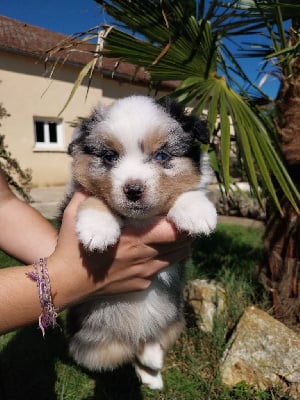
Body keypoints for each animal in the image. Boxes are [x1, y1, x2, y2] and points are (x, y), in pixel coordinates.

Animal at [64, 95, 217, 390]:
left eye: (162, 156)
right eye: (110, 157)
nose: (133, 190)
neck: (140, 220)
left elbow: (188, 191)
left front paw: (197, 211)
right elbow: (95, 197)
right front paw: (97, 228)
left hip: (173, 319)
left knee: (148, 340)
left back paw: (154, 366)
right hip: (92, 347)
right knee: (126, 353)